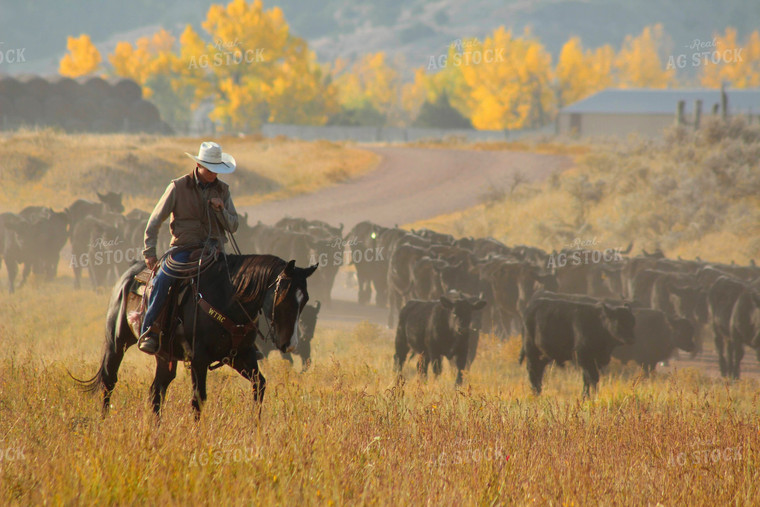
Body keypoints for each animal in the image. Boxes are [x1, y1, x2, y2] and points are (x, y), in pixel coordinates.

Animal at [75, 254, 318, 420]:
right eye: (283, 296)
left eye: (305, 299)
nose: (290, 344)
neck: (229, 299)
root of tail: (129, 274)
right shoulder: (199, 359)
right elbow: (198, 398)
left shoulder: (242, 356)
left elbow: (260, 385)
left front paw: (255, 426)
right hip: (116, 342)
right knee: (109, 381)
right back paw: (104, 420)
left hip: (165, 356)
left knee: (157, 391)